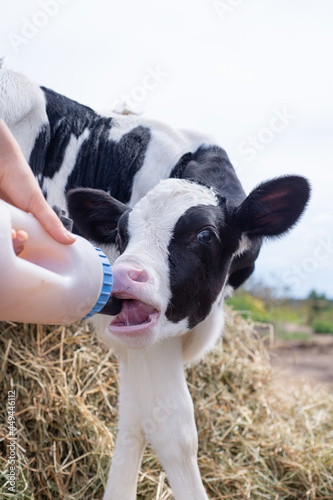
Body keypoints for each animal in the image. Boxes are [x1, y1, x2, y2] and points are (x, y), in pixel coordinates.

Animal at [1, 68, 310, 498]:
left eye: (204, 234)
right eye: (120, 231)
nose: (123, 274)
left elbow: (134, 418)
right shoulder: (145, 339)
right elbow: (170, 430)